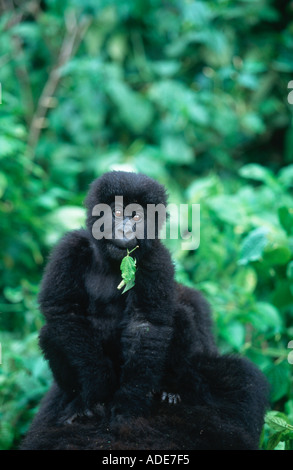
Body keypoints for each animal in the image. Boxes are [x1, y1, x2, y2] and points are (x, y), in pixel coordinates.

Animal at [20, 171, 266, 450]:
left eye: (137, 217)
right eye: (116, 213)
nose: (125, 229)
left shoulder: (155, 258)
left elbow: (146, 324)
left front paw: (127, 406)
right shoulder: (69, 248)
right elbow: (65, 312)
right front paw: (97, 388)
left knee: (179, 317)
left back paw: (170, 389)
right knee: (52, 333)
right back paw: (79, 401)